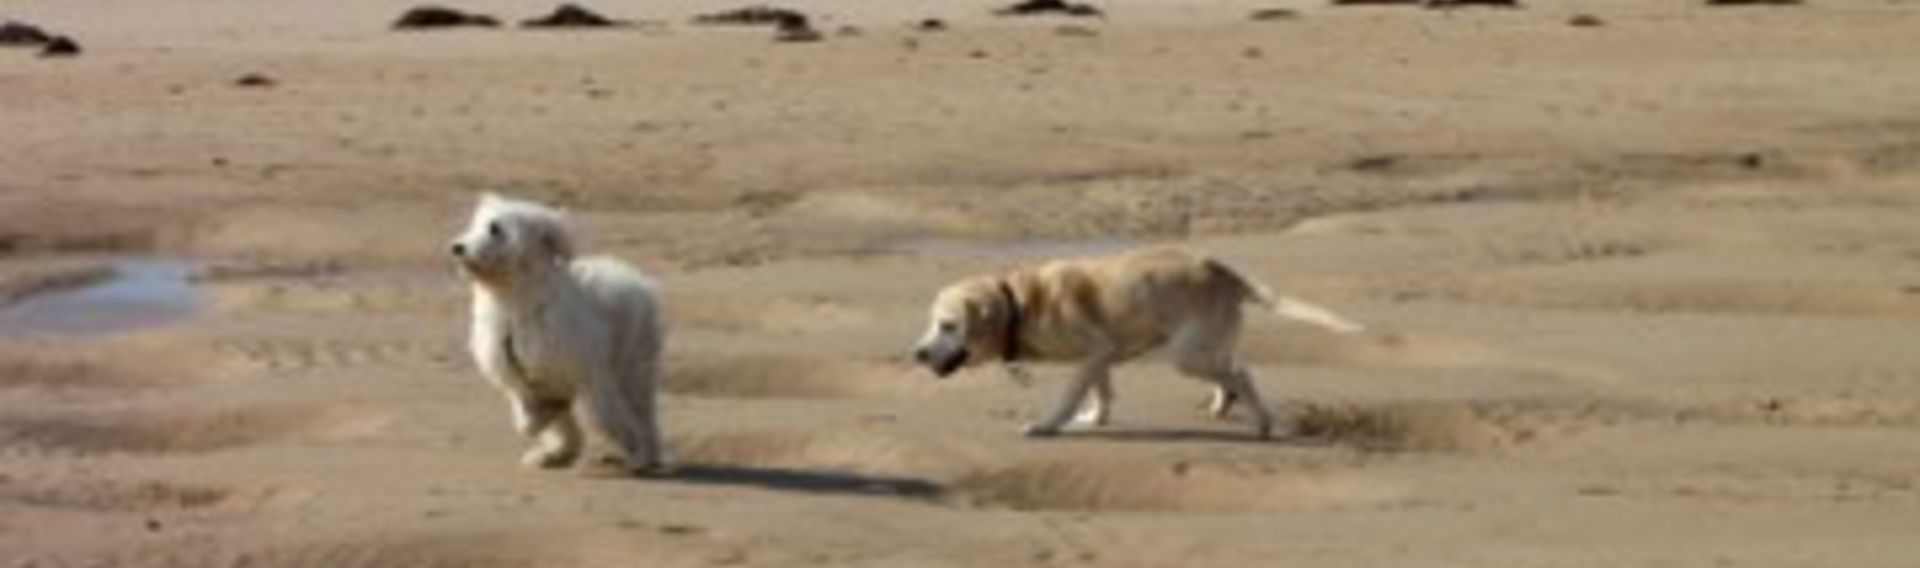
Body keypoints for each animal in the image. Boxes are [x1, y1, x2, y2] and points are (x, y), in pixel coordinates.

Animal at [449, 192, 668, 472]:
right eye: (474, 225)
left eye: (495, 229)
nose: (457, 247)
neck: (514, 306)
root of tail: (634, 277)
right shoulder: (526, 379)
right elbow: (537, 421)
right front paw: (556, 449)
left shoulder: (588, 373)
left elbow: (603, 416)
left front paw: (634, 450)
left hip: (633, 363)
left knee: (639, 411)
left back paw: (645, 454)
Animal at [913, 245, 1367, 437]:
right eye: (931, 323)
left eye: (948, 325)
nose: (917, 354)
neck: (1021, 303)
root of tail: (1224, 272)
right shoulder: (1101, 356)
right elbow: (1102, 390)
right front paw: (1096, 418)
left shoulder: (1094, 351)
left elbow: (1070, 394)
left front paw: (1048, 425)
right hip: (1205, 347)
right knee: (1232, 372)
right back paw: (1224, 405)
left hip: (1186, 354)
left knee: (1242, 373)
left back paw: (1264, 424)